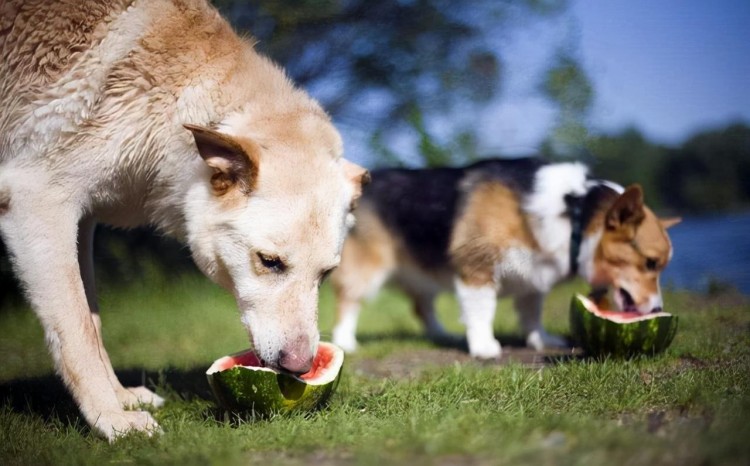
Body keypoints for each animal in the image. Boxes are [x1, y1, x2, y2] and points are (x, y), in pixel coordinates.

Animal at [0, 0, 368, 442]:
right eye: (269, 262)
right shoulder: (38, 201)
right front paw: (112, 419)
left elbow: (92, 320)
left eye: (326, 274)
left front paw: (121, 399)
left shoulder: (81, 220)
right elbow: (77, 331)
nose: (299, 367)